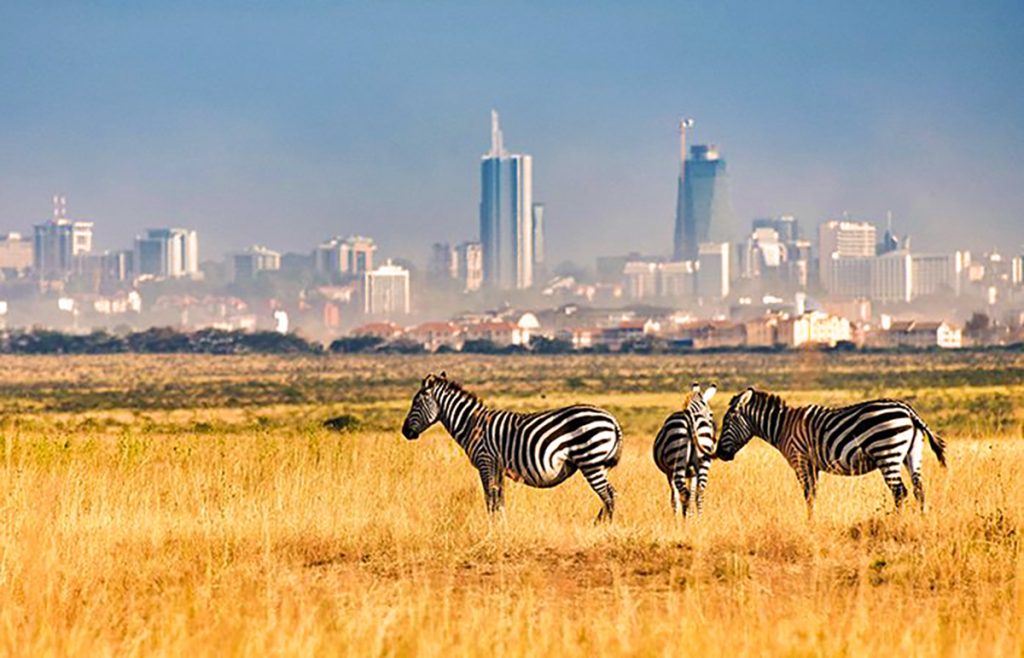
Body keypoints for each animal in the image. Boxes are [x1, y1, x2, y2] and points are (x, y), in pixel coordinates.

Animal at [400, 372, 624, 521]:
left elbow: (490, 498)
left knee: (609, 495)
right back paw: (599, 524)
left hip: (590, 461)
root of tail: (612, 419)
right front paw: (502, 525)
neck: (471, 424)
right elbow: (499, 499)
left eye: (415, 404)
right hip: (599, 463)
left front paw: (492, 528)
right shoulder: (497, 466)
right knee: (609, 495)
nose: (405, 432)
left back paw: (602, 527)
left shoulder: (486, 461)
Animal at [652, 382, 717, 517]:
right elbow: (692, 493)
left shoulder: (669, 472)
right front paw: (691, 514)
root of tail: (690, 417)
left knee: (685, 494)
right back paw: (699, 519)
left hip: (677, 459)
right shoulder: (693, 473)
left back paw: (684, 520)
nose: (714, 438)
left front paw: (676, 517)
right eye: (711, 414)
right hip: (703, 461)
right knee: (699, 493)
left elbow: (674, 497)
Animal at [715, 388, 946, 515]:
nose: (720, 454)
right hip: (911, 454)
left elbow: (808, 494)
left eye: (726, 423)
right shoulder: (812, 465)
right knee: (919, 490)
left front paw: (809, 524)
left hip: (886, 452)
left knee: (900, 492)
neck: (782, 427)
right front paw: (813, 520)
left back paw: (896, 524)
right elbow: (813, 494)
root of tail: (908, 411)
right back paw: (921, 522)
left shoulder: (800, 460)